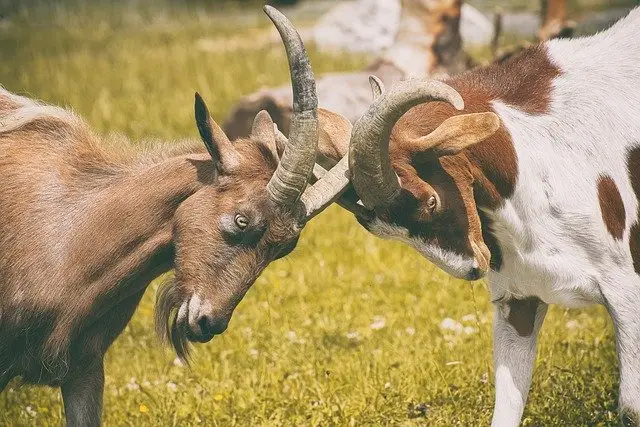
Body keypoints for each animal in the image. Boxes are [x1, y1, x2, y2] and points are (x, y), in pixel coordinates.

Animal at [322, 6, 640, 427]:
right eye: (382, 229)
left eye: (431, 201)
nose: (473, 268)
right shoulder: (518, 298)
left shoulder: (627, 290)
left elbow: (631, 407)